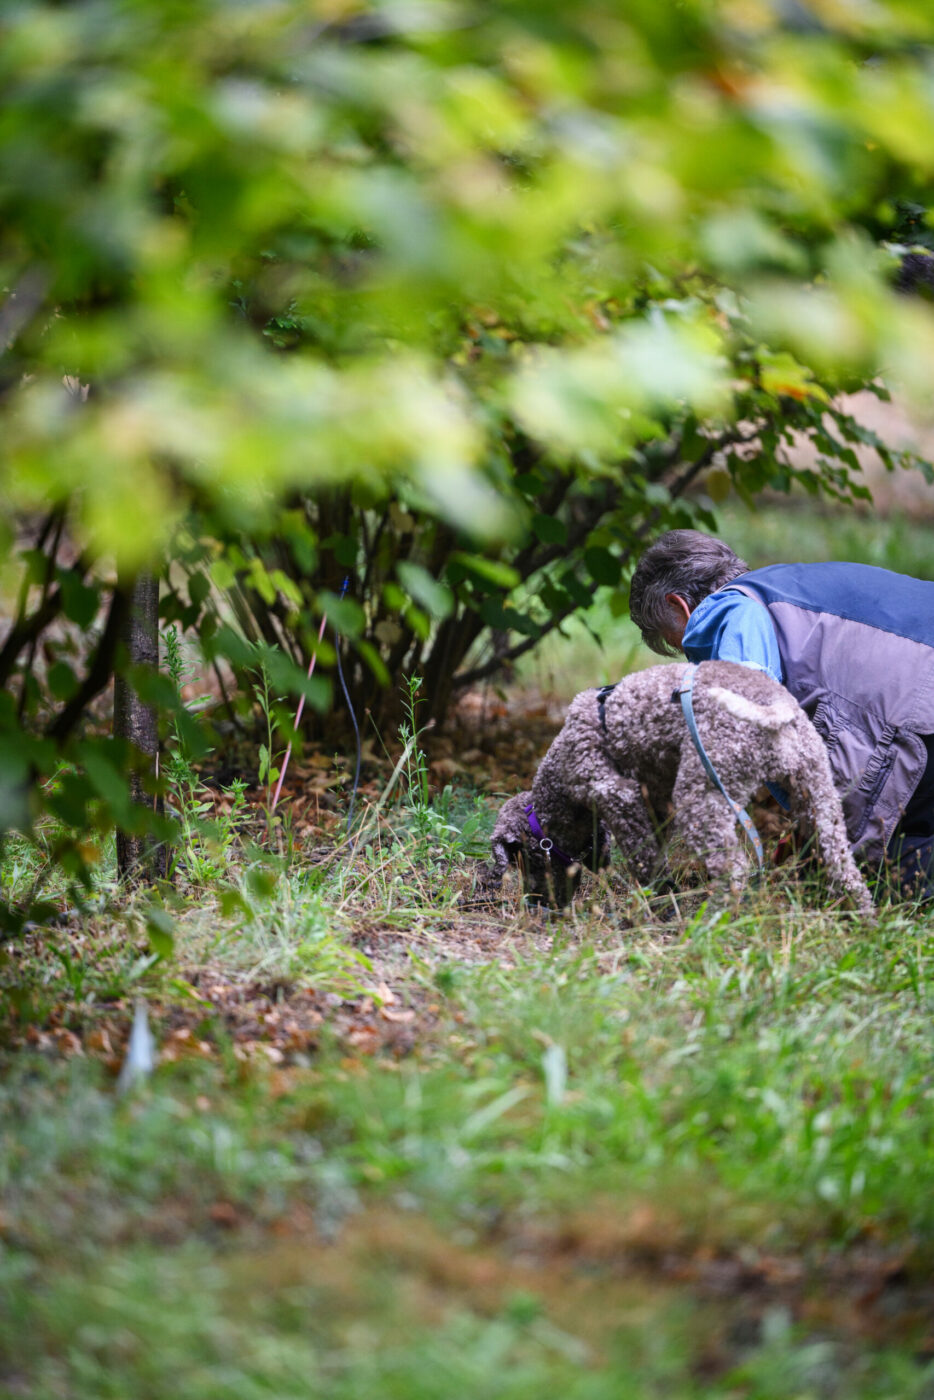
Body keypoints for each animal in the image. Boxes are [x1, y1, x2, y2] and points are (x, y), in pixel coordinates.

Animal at [492, 660, 873, 912]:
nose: (536, 904)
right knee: (846, 871)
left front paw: (660, 902)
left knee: (734, 870)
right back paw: (862, 922)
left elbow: (644, 860)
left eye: (525, 860)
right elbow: (653, 852)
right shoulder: (658, 806)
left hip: (703, 798)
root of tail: (774, 704)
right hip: (818, 799)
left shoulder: (617, 795)